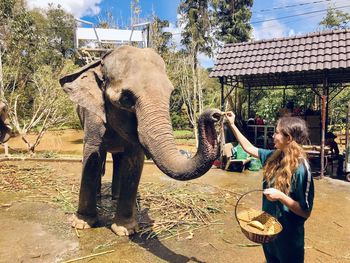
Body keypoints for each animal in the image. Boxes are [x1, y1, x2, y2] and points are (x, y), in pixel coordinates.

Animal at [58, 46, 220, 237]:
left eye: (171, 93)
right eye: (126, 99)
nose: (215, 115)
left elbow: (133, 160)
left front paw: (126, 230)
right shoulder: (92, 116)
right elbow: (92, 155)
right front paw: (82, 224)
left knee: (119, 159)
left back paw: (115, 196)